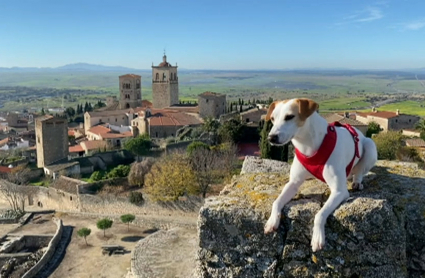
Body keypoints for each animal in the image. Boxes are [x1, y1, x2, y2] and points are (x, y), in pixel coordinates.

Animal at [264, 98, 376, 252]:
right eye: (273, 119)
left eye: (289, 117)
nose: (271, 137)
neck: (307, 145)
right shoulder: (293, 183)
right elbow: (276, 202)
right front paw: (272, 220)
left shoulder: (339, 191)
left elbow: (320, 214)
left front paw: (317, 237)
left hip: (370, 147)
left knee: (359, 171)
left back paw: (357, 182)